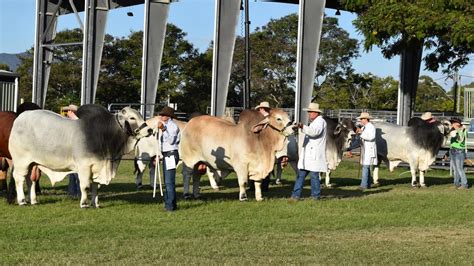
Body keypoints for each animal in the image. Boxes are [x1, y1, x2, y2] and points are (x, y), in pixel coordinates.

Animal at [9, 104, 152, 208]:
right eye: (132, 118)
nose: (149, 130)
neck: (104, 133)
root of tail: (19, 119)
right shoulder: (84, 166)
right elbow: (85, 186)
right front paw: (84, 204)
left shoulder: (98, 165)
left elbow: (95, 186)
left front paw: (96, 203)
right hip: (21, 161)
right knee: (19, 178)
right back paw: (22, 201)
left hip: (32, 163)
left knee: (30, 180)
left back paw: (33, 200)